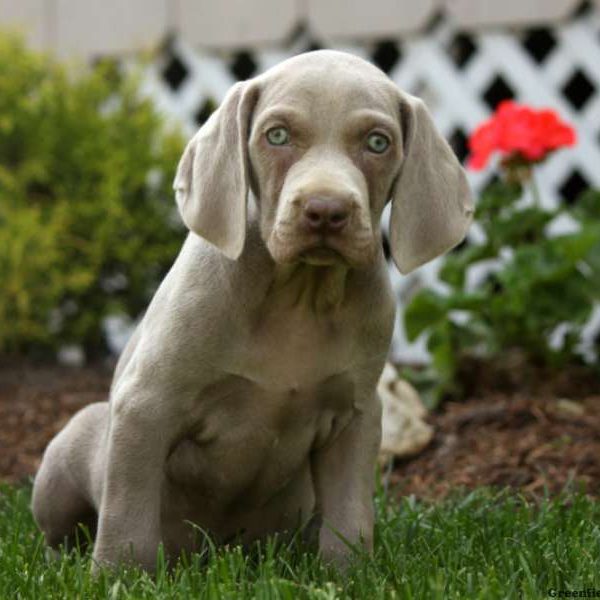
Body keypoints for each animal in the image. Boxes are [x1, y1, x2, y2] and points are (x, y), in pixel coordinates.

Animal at [31, 49, 474, 568]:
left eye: (378, 143)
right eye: (276, 135)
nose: (326, 211)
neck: (298, 293)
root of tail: (213, 553)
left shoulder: (358, 414)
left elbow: (350, 515)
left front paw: (347, 573)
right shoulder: (146, 404)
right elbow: (127, 514)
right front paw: (119, 575)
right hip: (76, 439)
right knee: (64, 531)